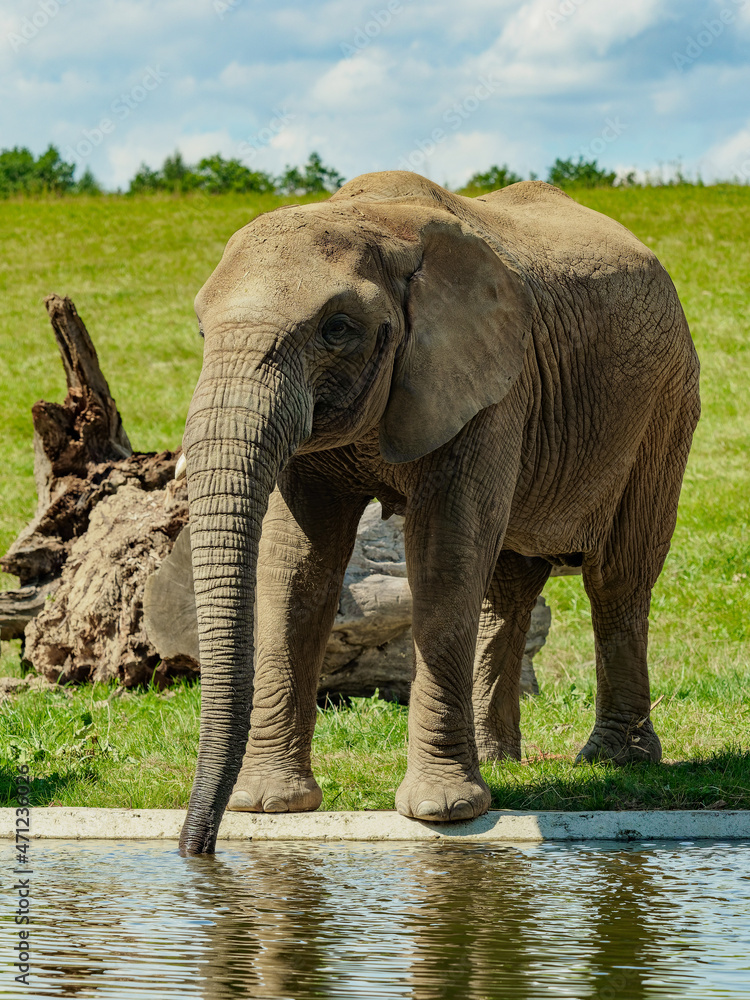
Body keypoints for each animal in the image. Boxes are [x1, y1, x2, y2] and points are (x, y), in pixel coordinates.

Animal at [178, 170, 700, 854]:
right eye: (202, 332)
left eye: (337, 327)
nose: (197, 849)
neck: (373, 223)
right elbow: (296, 561)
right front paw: (269, 805)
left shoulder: (490, 383)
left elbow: (444, 547)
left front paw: (442, 812)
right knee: (507, 587)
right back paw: (502, 759)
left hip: (665, 405)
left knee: (617, 577)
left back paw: (616, 760)